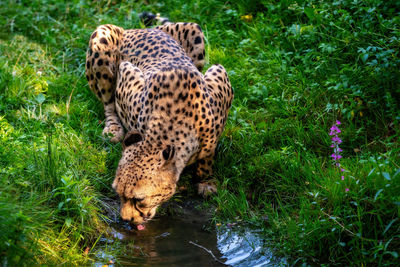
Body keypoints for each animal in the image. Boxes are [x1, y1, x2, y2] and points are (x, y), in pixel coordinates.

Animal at [86, 18, 233, 226]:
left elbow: (208, 152)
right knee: (107, 102)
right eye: (117, 193)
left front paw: (205, 180)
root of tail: (141, 29)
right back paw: (113, 128)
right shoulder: (127, 73)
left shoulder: (220, 76)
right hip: (101, 38)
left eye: (139, 199)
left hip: (195, 33)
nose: (126, 219)